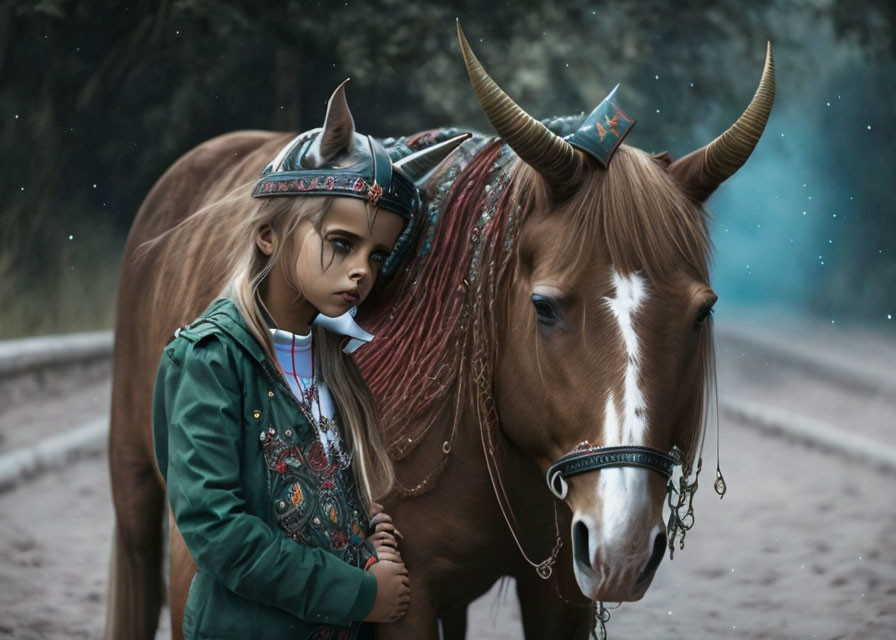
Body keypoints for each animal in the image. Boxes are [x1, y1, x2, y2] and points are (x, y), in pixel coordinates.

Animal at [105, 27, 772, 640]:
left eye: (701, 314)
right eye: (544, 307)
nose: (624, 547)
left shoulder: (559, 591)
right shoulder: (405, 593)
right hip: (134, 476)